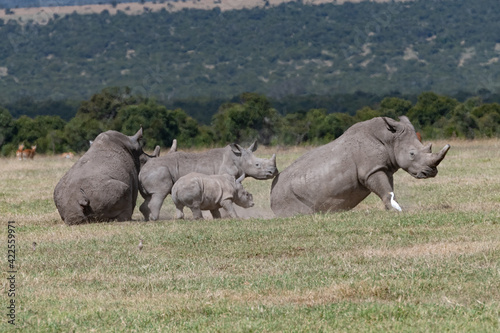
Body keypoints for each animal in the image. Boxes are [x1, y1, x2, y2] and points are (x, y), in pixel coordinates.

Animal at [139, 141, 278, 220]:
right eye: (257, 165)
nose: (273, 172)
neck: (238, 159)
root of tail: (141, 171)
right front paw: (226, 216)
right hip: (158, 171)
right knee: (159, 194)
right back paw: (155, 218)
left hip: (151, 173)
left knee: (149, 197)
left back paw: (147, 218)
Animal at [272, 115, 452, 217]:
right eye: (412, 154)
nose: (431, 172)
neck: (390, 139)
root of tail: (271, 193)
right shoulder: (370, 170)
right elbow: (385, 189)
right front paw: (395, 211)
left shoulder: (383, 167)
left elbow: (389, 189)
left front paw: (392, 208)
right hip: (284, 194)